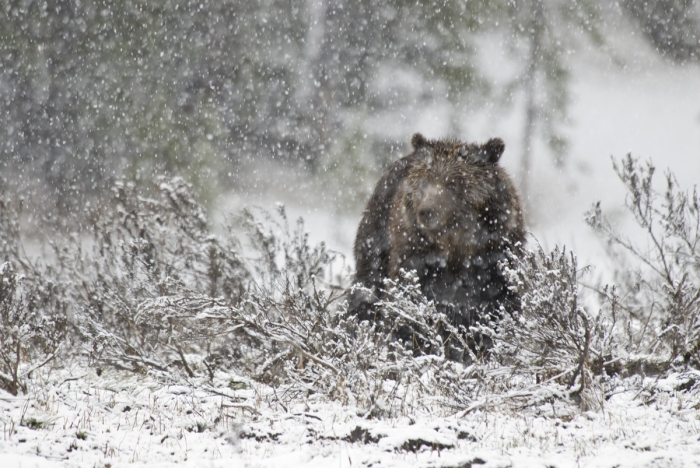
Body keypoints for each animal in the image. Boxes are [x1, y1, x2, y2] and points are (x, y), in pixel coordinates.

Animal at [350, 133, 524, 360]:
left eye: (453, 183)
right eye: (424, 182)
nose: (426, 211)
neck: (456, 248)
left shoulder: (497, 254)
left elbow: (502, 302)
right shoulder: (416, 256)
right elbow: (409, 303)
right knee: (367, 285)